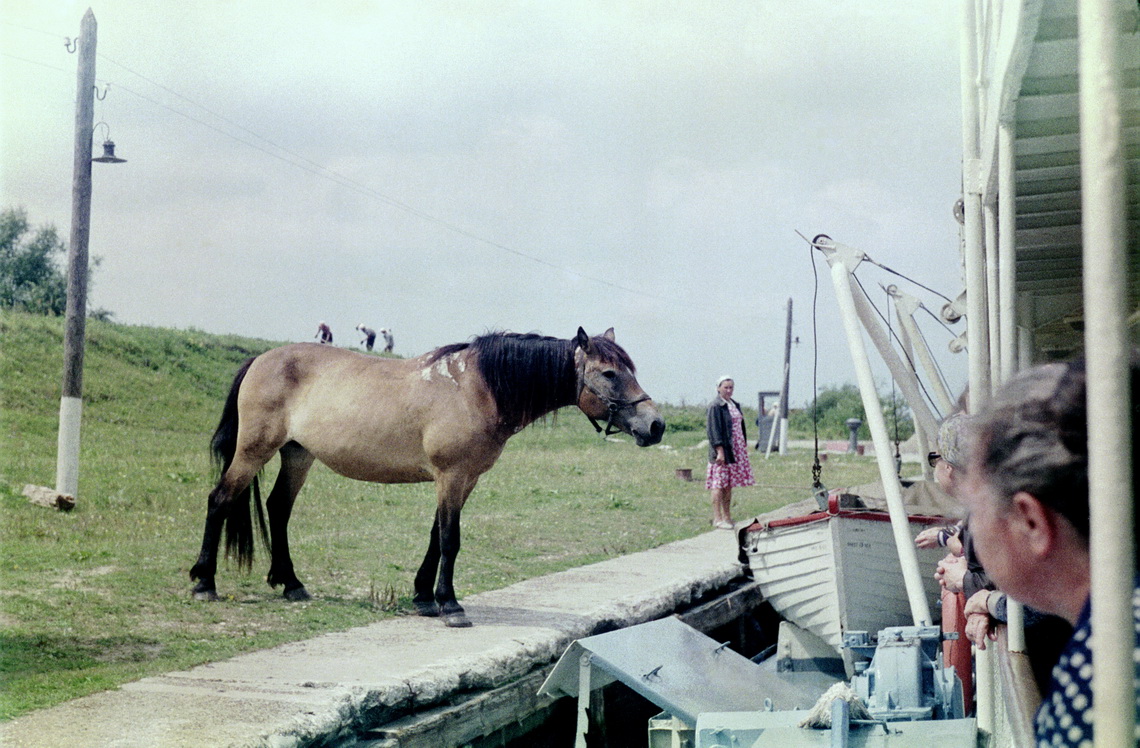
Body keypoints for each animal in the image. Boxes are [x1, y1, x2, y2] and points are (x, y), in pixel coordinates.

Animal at [189, 328, 665, 624]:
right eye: (610, 373)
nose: (656, 425)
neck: (477, 389)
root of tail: (261, 359)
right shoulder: (450, 476)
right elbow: (451, 539)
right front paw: (449, 604)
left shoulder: (465, 479)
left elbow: (437, 536)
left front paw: (423, 596)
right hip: (254, 451)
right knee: (220, 500)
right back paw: (204, 582)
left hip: (297, 455)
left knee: (278, 509)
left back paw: (291, 583)